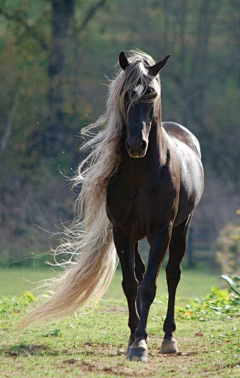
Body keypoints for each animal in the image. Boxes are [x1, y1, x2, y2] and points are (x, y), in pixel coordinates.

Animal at [21, 49, 203, 364]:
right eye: (126, 94)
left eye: (151, 94)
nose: (136, 145)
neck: (142, 174)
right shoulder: (122, 231)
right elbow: (131, 284)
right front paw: (134, 337)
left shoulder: (161, 230)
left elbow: (150, 285)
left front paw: (141, 343)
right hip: (138, 236)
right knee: (142, 273)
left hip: (181, 227)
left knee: (172, 275)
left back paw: (168, 337)